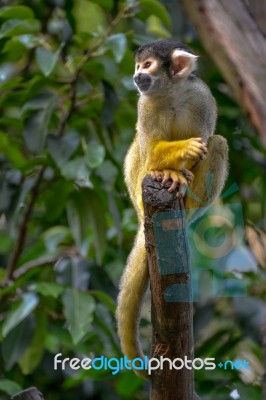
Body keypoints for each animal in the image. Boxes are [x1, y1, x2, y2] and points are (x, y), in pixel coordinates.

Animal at [116, 39, 229, 378]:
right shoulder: (145, 105)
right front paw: (172, 167)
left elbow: (205, 142)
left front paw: (183, 172)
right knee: (141, 151)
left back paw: (187, 201)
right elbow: (153, 152)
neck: (171, 94)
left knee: (218, 143)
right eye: (138, 66)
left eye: (147, 65)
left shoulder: (202, 98)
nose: (136, 75)